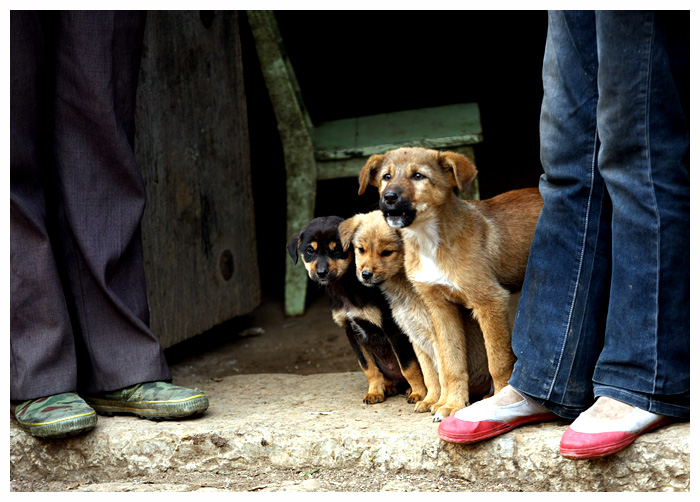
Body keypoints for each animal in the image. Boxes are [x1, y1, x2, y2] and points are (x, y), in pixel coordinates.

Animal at [286, 216, 426, 404]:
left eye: (337, 249)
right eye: (309, 250)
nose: (321, 273)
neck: (346, 288)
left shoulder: (394, 330)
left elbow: (408, 366)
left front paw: (418, 393)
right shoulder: (351, 331)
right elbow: (368, 367)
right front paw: (375, 392)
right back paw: (389, 386)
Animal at [358, 146, 544, 420]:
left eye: (418, 176)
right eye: (386, 177)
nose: (389, 197)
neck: (429, 241)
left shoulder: (490, 301)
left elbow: (498, 362)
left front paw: (497, 401)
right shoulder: (441, 308)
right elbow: (450, 364)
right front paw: (452, 405)